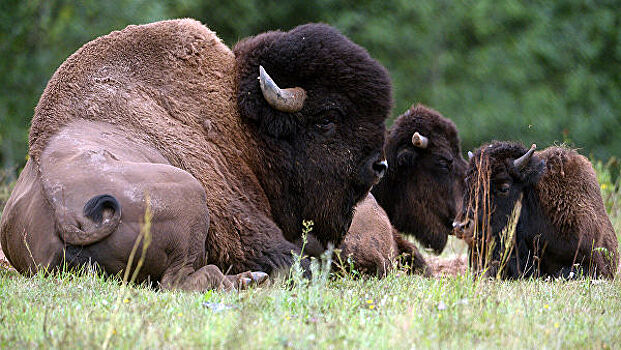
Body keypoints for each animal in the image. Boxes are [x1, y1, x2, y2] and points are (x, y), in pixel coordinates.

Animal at [0, 19, 390, 292]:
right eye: (327, 120)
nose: (378, 165)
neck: (239, 121)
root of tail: (69, 216)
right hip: (190, 194)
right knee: (181, 281)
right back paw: (250, 279)